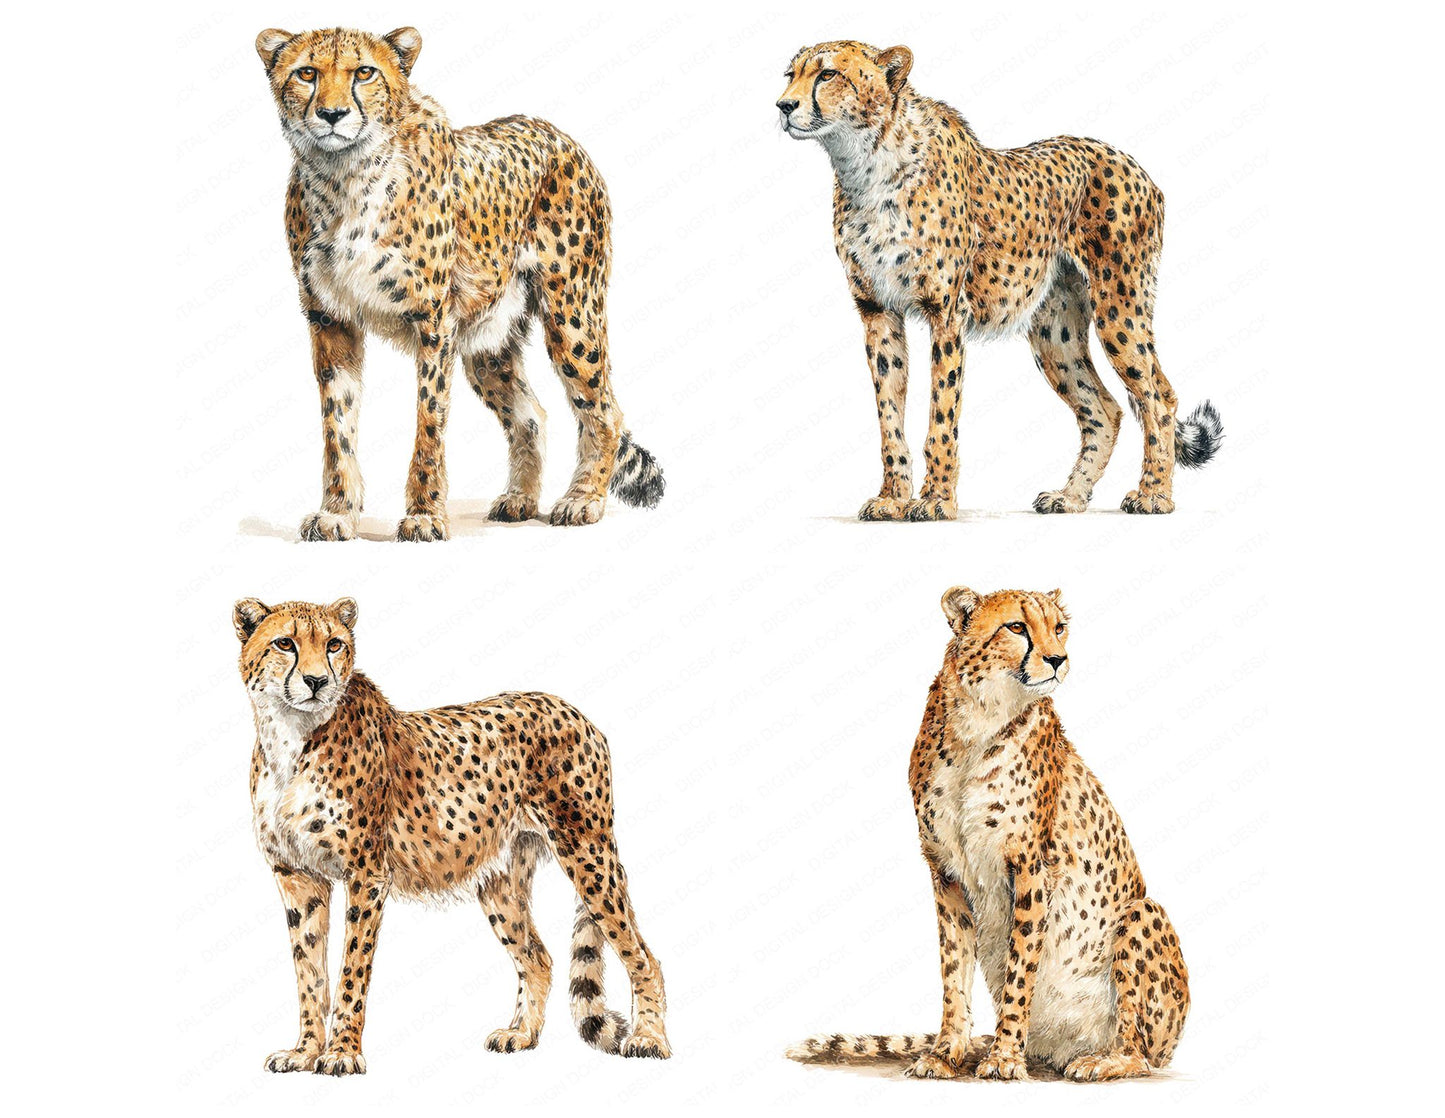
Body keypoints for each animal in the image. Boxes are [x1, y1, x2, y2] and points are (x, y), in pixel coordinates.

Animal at [234, 596, 671, 1075]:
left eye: (334, 644)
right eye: (284, 643)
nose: (316, 681)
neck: (290, 736)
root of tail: (571, 709)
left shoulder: (367, 876)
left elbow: (351, 972)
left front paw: (343, 1053)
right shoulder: (298, 877)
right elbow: (309, 972)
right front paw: (305, 1051)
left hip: (587, 853)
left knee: (643, 955)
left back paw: (649, 1038)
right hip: (500, 880)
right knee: (537, 958)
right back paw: (521, 1034)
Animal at [255, 27, 665, 542]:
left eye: (364, 72)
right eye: (306, 73)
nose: (332, 114)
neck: (346, 176)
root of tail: (559, 135)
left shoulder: (435, 322)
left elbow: (428, 422)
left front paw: (425, 515)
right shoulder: (331, 320)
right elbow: (338, 425)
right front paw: (337, 513)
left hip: (573, 314)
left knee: (603, 409)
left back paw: (582, 500)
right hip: (488, 341)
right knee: (530, 414)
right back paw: (520, 499)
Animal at [777, 42, 1223, 520]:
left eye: (828, 75)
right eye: (790, 74)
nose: (784, 105)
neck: (866, 162)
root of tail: (1129, 161)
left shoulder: (946, 313)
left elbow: (941, 415)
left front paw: (936, 500)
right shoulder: (877, 311)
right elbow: (889, 416)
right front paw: (893, 499)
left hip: (1119, 310)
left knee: (1159, 396)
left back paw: (1154, 494)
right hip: (1055, 333)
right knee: (1103, 409)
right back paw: (1069, 497)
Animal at [787, 587, 1189, 1082]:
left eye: (1059, 627)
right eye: (1016, 627)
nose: (1058, 659)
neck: (978, 722)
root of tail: (1056, 1050)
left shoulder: (1031, 868)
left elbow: (1020, 969)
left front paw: (1004, 1057)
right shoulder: (946, 873)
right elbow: (954, 969)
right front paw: (947, 1052)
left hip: (1141, 914)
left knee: (1140, 1051)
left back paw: (1102, 1059)